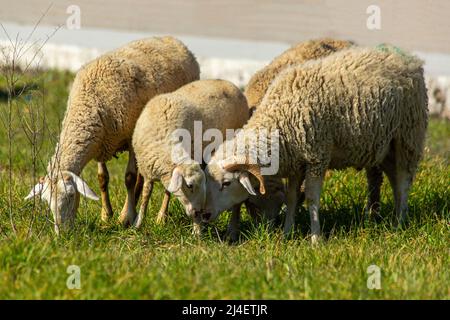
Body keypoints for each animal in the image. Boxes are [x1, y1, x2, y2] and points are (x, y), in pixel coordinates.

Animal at [24, 37, 200, 232]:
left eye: (70, 195)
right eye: (46, 200)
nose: (61, 233)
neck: (88, 104)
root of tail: (175, 40)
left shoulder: (129, 138)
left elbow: (129, 178)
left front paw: (125, 217)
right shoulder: (101, 139)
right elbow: (102, 178)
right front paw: (106, 215)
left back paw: (160, 218)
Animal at [130, 78, 250, 232]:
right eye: (189, 185)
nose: (198, 212)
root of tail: (230, 83)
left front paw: (194, 227)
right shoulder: (147, 170)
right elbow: (146, 194)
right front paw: (138, 223)